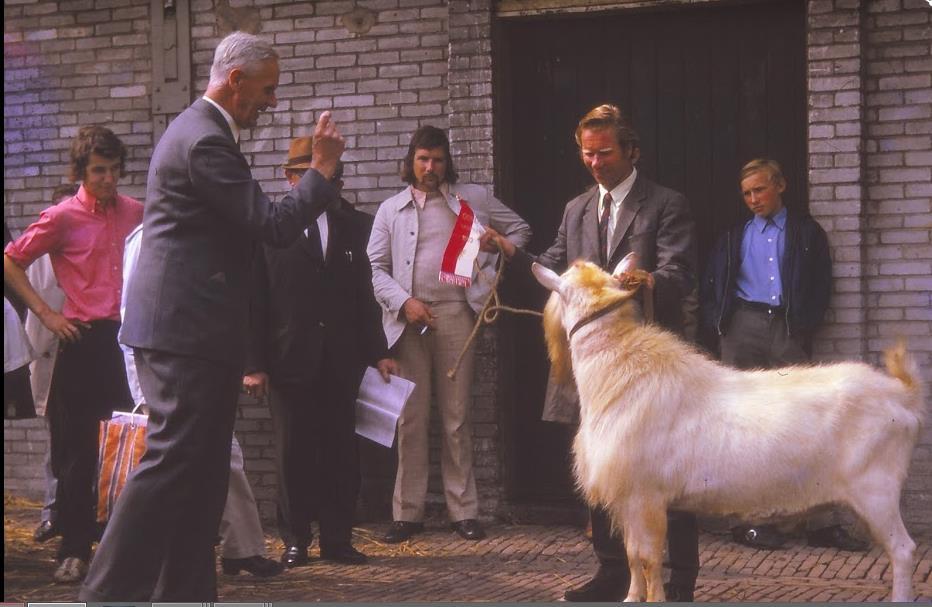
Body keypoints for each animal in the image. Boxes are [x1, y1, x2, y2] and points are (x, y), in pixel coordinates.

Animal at [532, 254, 924, 600]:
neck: (621, 369)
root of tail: (901, 393)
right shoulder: (630, 498)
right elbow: (632, 556)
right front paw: (631, 598)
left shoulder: (647, 495)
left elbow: (649, 559)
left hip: (876, 488)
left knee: (903, 550)